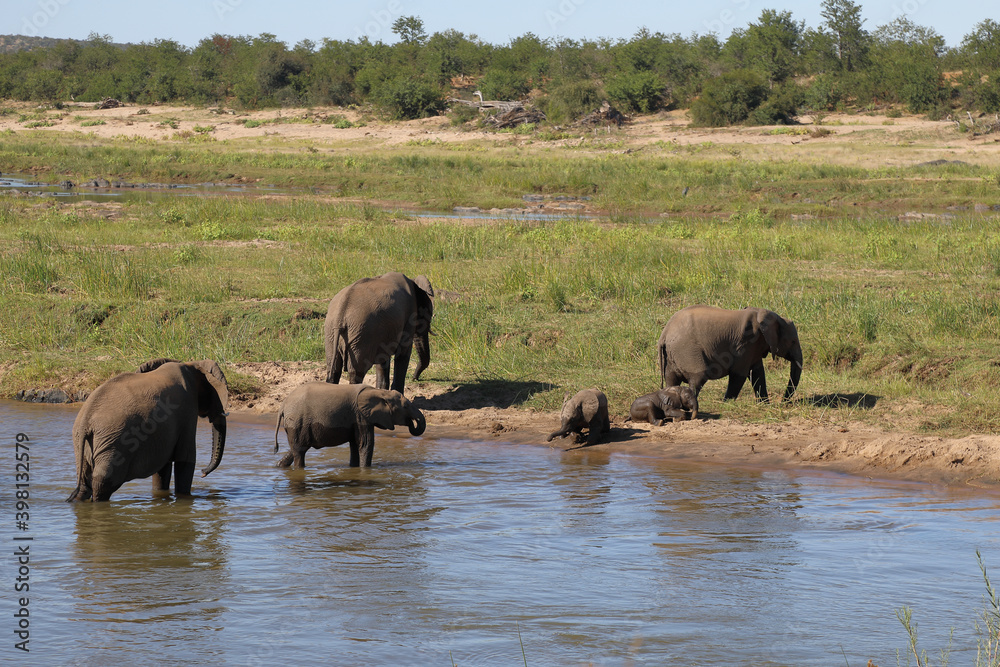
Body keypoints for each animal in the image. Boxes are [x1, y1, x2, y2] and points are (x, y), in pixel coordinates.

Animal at [67, 358, 229, 502]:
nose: (203, 473)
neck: (191, 363)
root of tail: (86, 420)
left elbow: (163, 466)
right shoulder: (188, 409)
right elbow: (185, 459)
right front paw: (184, 498)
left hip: (83, 442)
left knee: (84, 485)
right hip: (114, 443)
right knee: (103, 483)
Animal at [274, 382, 427, 468]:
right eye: (406, 406)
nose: (411, 422)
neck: (379, 391)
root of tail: (283, 404)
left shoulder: (356, 418)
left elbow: (355, 444)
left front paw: (354, 468)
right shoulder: (361, 416)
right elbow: (366, 443)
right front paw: (365, 471)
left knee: (297, 449)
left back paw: (279, 466)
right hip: (298, 422)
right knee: (300, 452)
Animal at [657, 305, 802, 402]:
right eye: (793, 341)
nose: (784, 402)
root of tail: (664, 333)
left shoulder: (753, 347)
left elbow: (757, 373)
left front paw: (764, 404)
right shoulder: (746, 343)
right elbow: (739, 374)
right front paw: (727, 403)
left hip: (672, 355)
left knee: (671, 380)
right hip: (687, 350)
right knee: (698, 378)